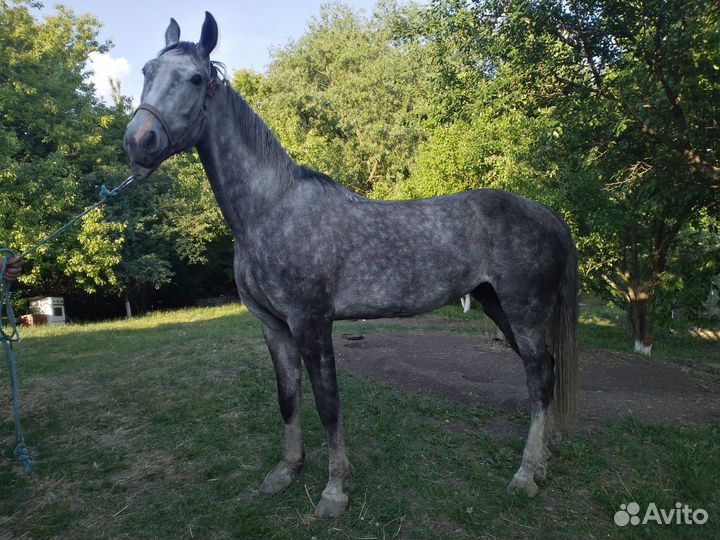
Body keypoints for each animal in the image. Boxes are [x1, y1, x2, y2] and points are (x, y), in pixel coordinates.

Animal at [124, 12, 579, 518]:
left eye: (196, 79)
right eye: (147, 71)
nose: (139, 142)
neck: (271, 209)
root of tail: (549, 215)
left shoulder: (311, 322)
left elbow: (328, 403)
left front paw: (335, 490)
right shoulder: (273, 326)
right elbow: (287, 399)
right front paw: (286, 472)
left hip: (525, 313)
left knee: (539, 379)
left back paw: (526, 475)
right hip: (497, 307)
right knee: (545, 374)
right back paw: (544, 459)